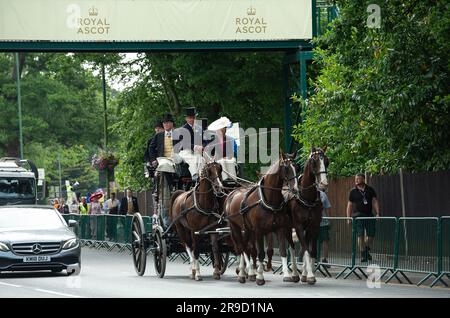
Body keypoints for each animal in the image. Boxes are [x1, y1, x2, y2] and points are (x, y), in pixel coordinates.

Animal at [222, 154, 298, 286]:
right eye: (286, 168)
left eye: (296, 167)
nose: (295, 188)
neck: (268, 199)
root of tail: (231, 194)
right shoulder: (259, 231)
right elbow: (261, 254)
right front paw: (260, 276)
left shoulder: (280, 228)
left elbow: (282, 251)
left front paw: (287, 275)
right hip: (235, 227)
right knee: (241, 248)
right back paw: (243, 274)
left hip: (247, 229)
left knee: (245, 248)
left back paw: (247, 272)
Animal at [286, 148, 328, 284]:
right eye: (314, 162)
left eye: (326, 161)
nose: (324, 184)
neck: (307, 198)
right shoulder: (299, 226)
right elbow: (304, 249)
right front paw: (309, 275)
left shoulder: (314, 226)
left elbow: (312, 251)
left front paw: (307, 274)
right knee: (292, 248)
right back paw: (293, 273)